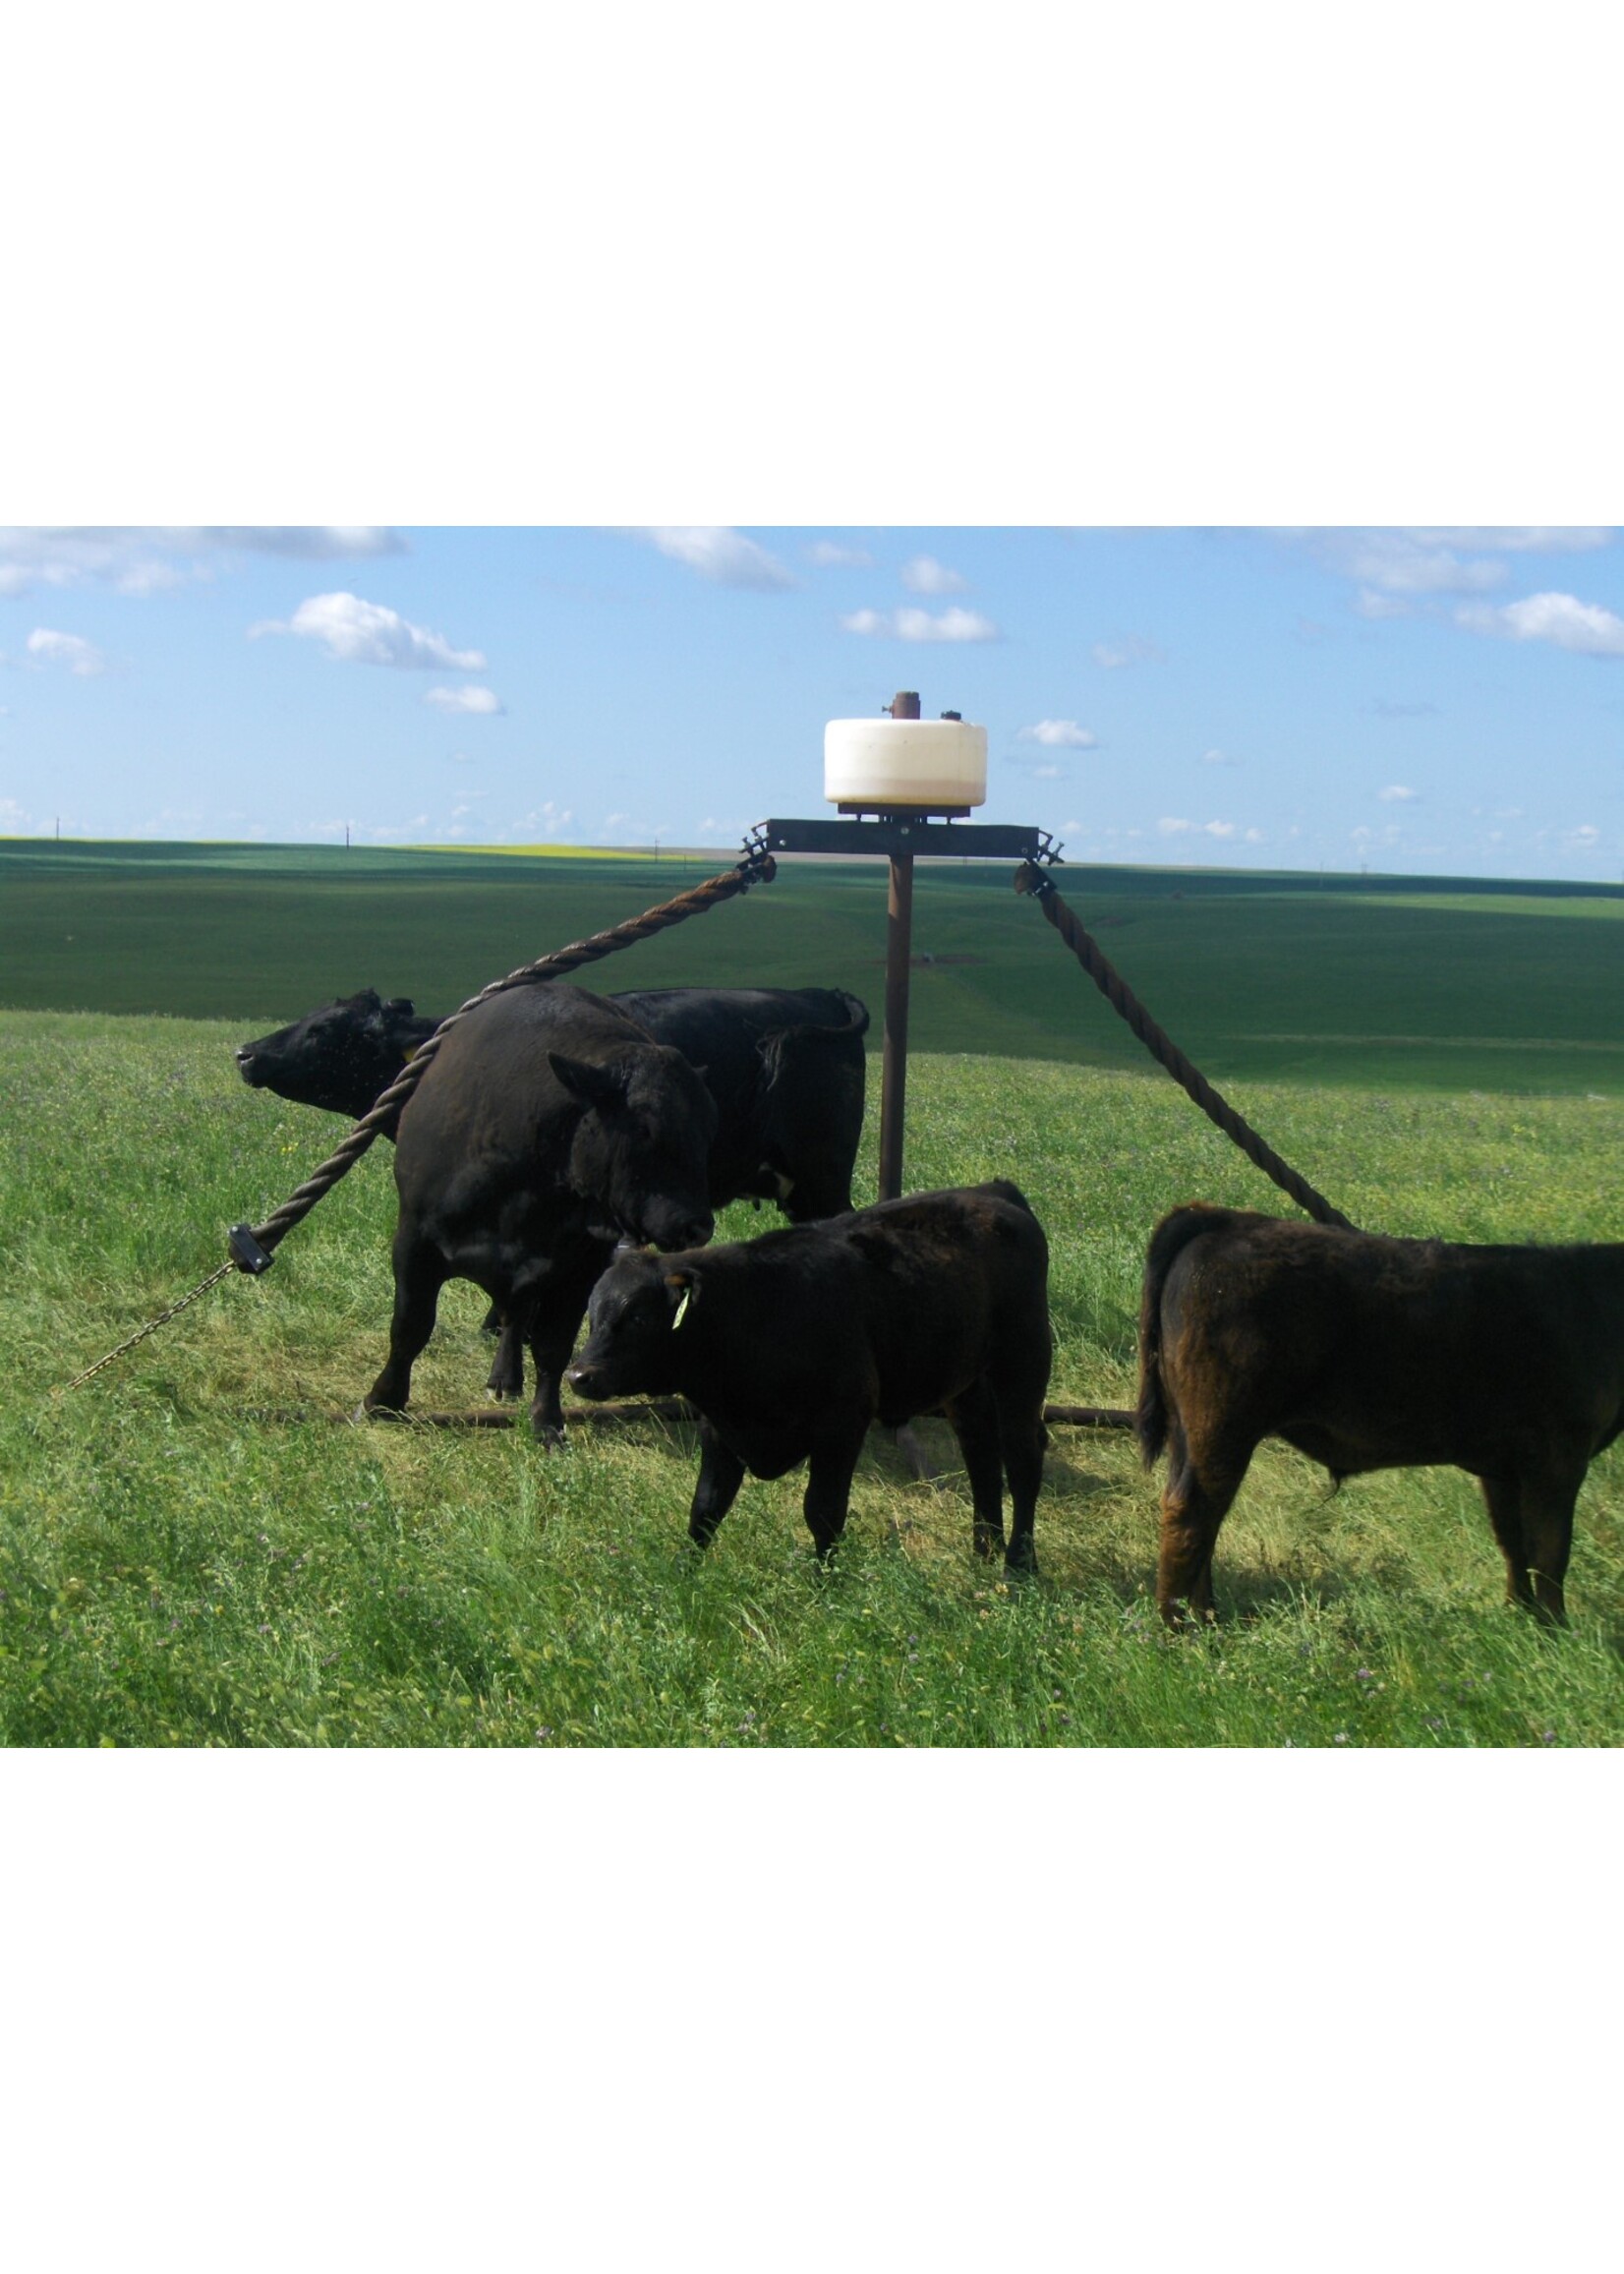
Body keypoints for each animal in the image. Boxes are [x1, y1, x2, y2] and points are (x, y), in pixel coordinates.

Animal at [363, 985, 717, 1442]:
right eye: (646, 1128)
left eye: (708, 1131)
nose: (697, 1226)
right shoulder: (414, 1242)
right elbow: (410, 1326)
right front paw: (382, 1400)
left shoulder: (579, 1271)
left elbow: (552, 1348)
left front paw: (548, 1424)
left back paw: (506, 1378)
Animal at [566, 1180, 1052, 1572]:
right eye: (592, 1312)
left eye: (639, 1318)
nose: (578, 1375)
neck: (756, 1311)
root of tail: (994, 1191)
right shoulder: (719, 1426)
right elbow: (706, 1505)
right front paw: (684, 1574)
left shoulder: (843, 1421)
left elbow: (822, 1510)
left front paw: (826, 1585)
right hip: (966, 1386)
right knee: (981, 1455)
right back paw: (983, 1552)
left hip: (1023, 1366)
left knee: (1023, 1459)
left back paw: (1018, 1565)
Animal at [1137, 1201, 1624, 1628]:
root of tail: (1225, 1219)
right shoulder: (1560, 1456)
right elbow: (1551, 1552)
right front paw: (1555, 1632)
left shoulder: (1505, 1466)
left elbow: (1514, 1543)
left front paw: (1520, 1618)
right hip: (1223, 1427)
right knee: (1192, 1513)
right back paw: (1180, 1629)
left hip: (1190, 1433)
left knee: (1202, 1517)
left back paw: (1207, 1619)